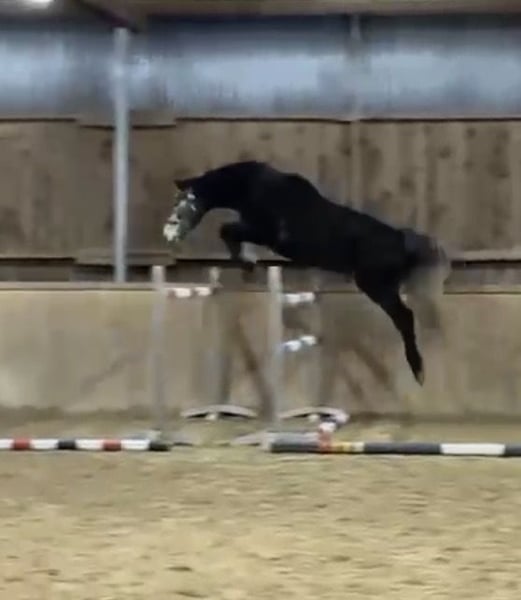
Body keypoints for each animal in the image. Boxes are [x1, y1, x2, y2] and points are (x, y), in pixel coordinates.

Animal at [162, 160, 450, 385]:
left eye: (182, 203)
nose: (169, 234)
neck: (254, 187)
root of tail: (401, 240)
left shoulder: (266, 232)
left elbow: (226, 230)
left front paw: (246, 262)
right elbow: (229, 232)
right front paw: (246, 262)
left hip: (377, 287)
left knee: (405, 317)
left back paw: (418, 370)